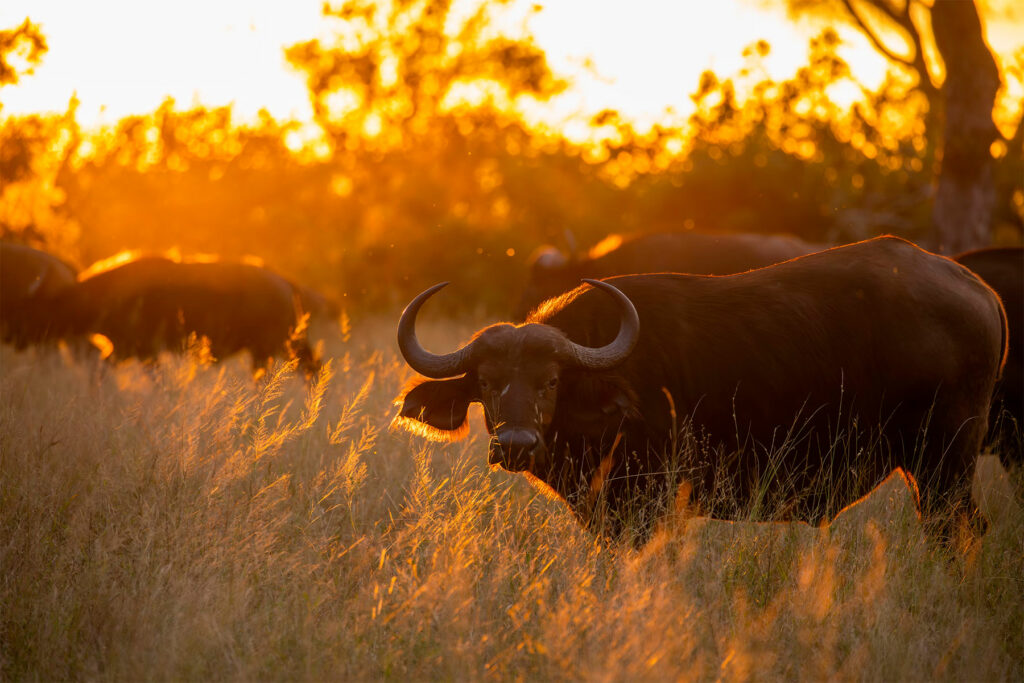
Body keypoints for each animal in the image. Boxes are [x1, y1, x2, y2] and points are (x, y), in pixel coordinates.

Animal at [395, 237, 1003, 540]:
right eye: (488, 383)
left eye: (549, 381)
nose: (516, 444)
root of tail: (978, 288)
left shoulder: (645, 508)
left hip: (944, 461)